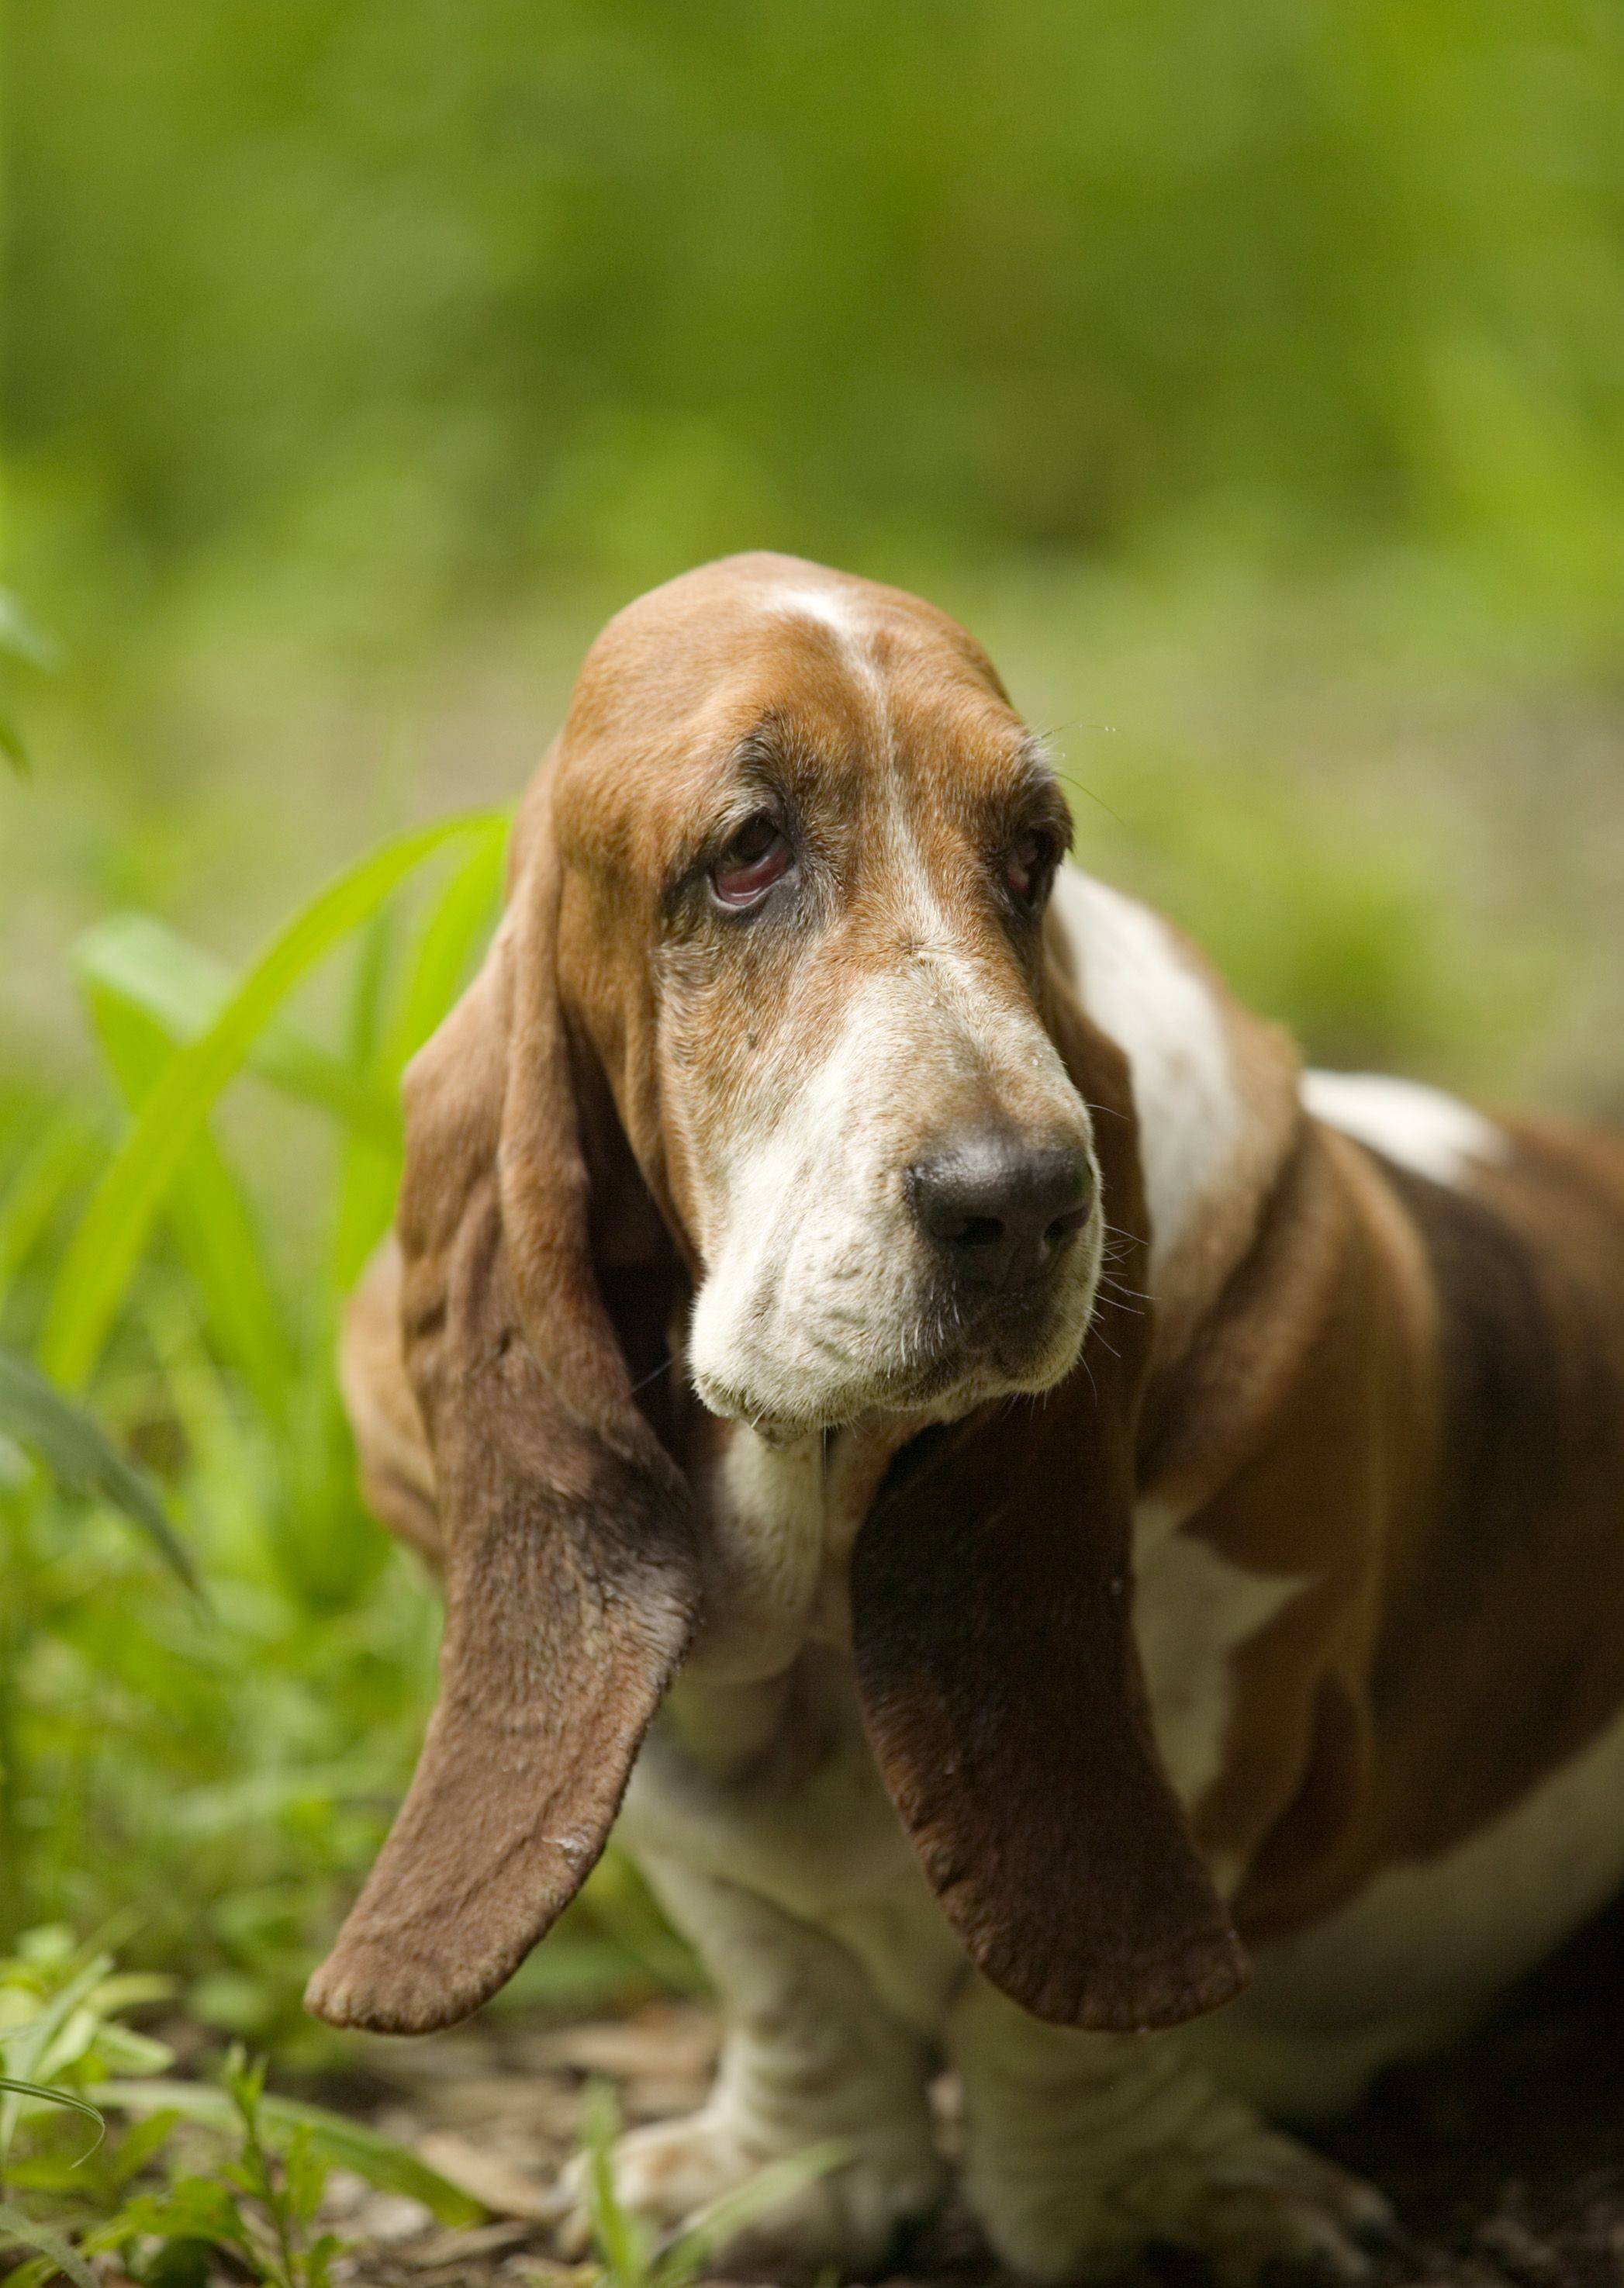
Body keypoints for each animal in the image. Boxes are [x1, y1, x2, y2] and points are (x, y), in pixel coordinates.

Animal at [306, 553, 1624, 2288]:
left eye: (1032, 853)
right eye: (746, 851)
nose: (1020, 1205)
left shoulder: (1221, 1704)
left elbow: (1051, 2015)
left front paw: (1136, 2204)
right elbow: (782, 1963)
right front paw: (784, 2176)